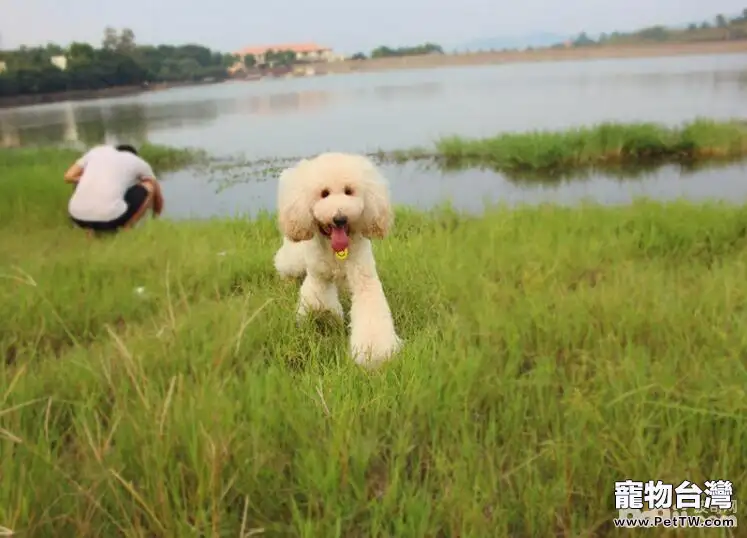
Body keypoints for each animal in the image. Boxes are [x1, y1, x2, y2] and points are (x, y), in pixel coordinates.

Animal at [274, 153, 404, 366]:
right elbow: (318, 302)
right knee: (285, 265)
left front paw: (374, 353)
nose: (340, 218)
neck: (337, 251)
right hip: (294, 254)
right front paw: (324, 319)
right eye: (324, 193)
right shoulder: (319, 277)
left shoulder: (364, 278)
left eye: (349, 191)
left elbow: (370, 310)